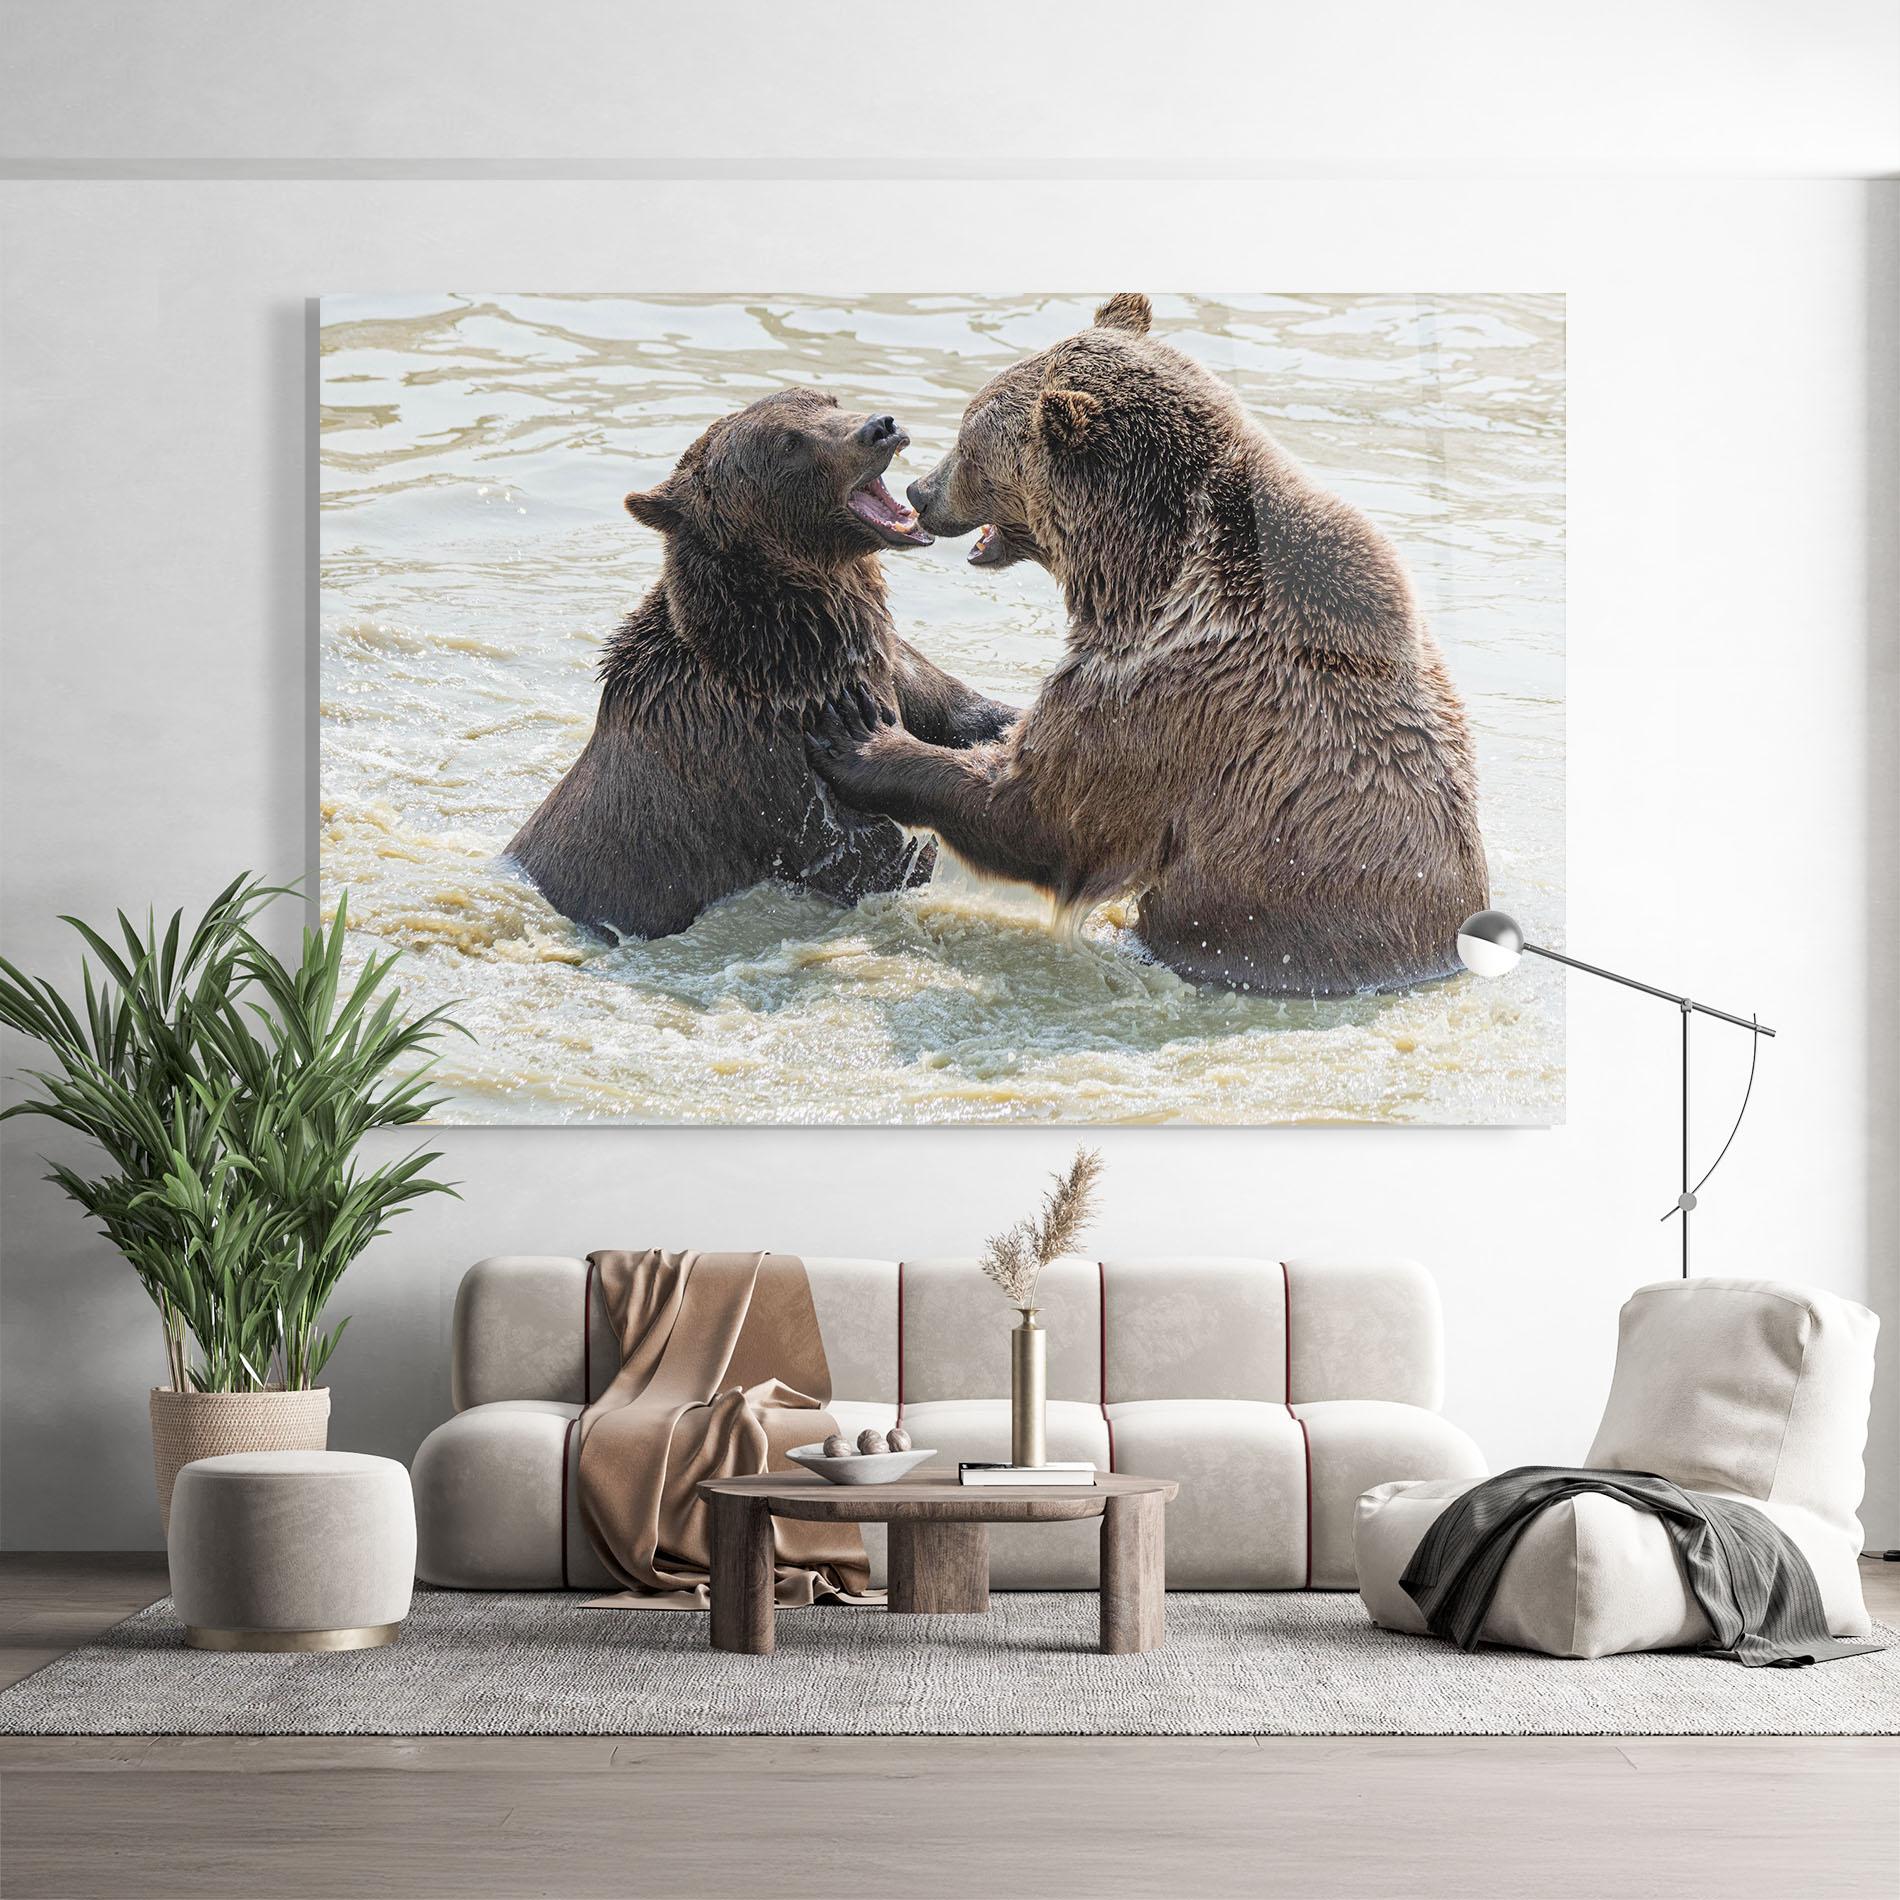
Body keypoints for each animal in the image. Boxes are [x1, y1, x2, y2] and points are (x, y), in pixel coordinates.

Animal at [506, 387, 1016, 940]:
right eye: (789, 444)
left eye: (827, 399)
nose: (880, 427)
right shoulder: (771, 763)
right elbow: (872, 853)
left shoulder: (888, 663)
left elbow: (967, 712)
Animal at [804, 293, 1488, 996]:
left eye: (969, 443)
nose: (921, 491)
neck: (1140, 575)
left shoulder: (1167, 696)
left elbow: (1042, 810)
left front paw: (860, 737)